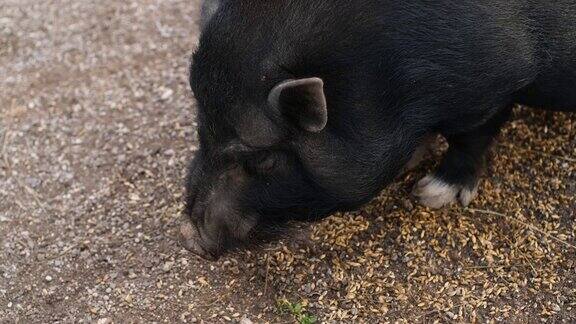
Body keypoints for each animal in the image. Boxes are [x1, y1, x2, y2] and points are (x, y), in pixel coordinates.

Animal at [183, 0, 576, 258]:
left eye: (263, 158)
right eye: (203, 127)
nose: (189, 237)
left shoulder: (497, 83)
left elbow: (471, 138)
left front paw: (429, 194)